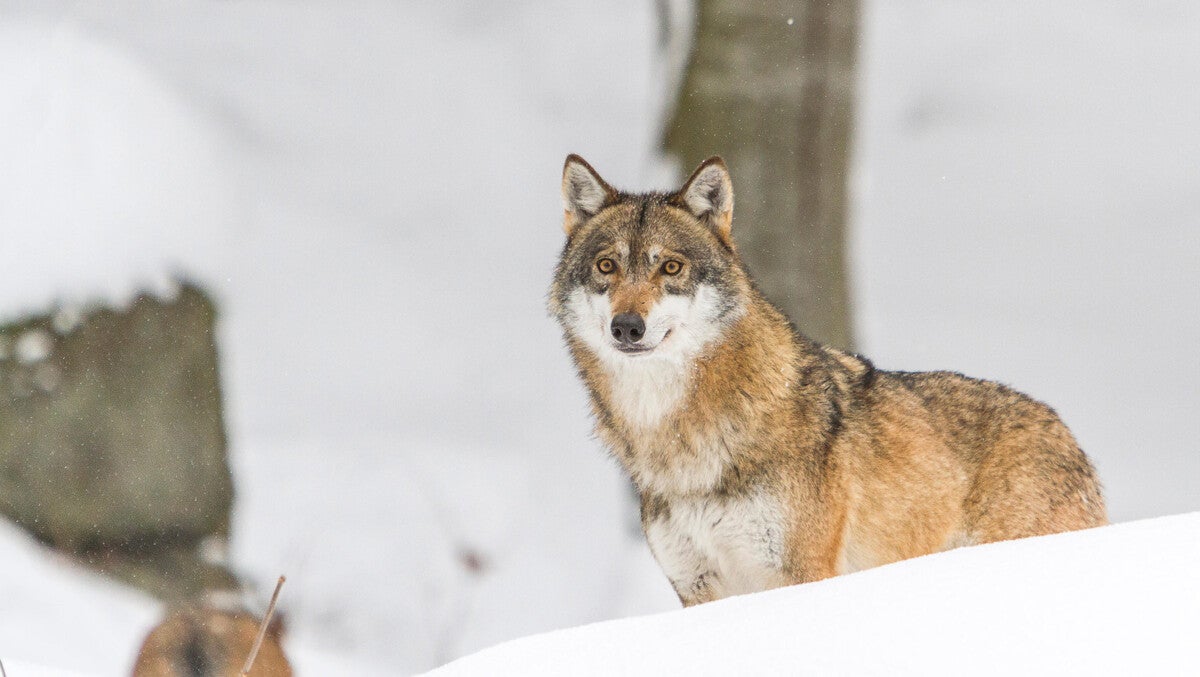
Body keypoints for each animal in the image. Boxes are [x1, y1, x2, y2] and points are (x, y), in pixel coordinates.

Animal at [549, 154, 1104, 607]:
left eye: (670, 267)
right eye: (606, 266)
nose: (627, 326)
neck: (680, 438)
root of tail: (1069, 438)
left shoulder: (802, 573)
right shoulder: (697, 587)